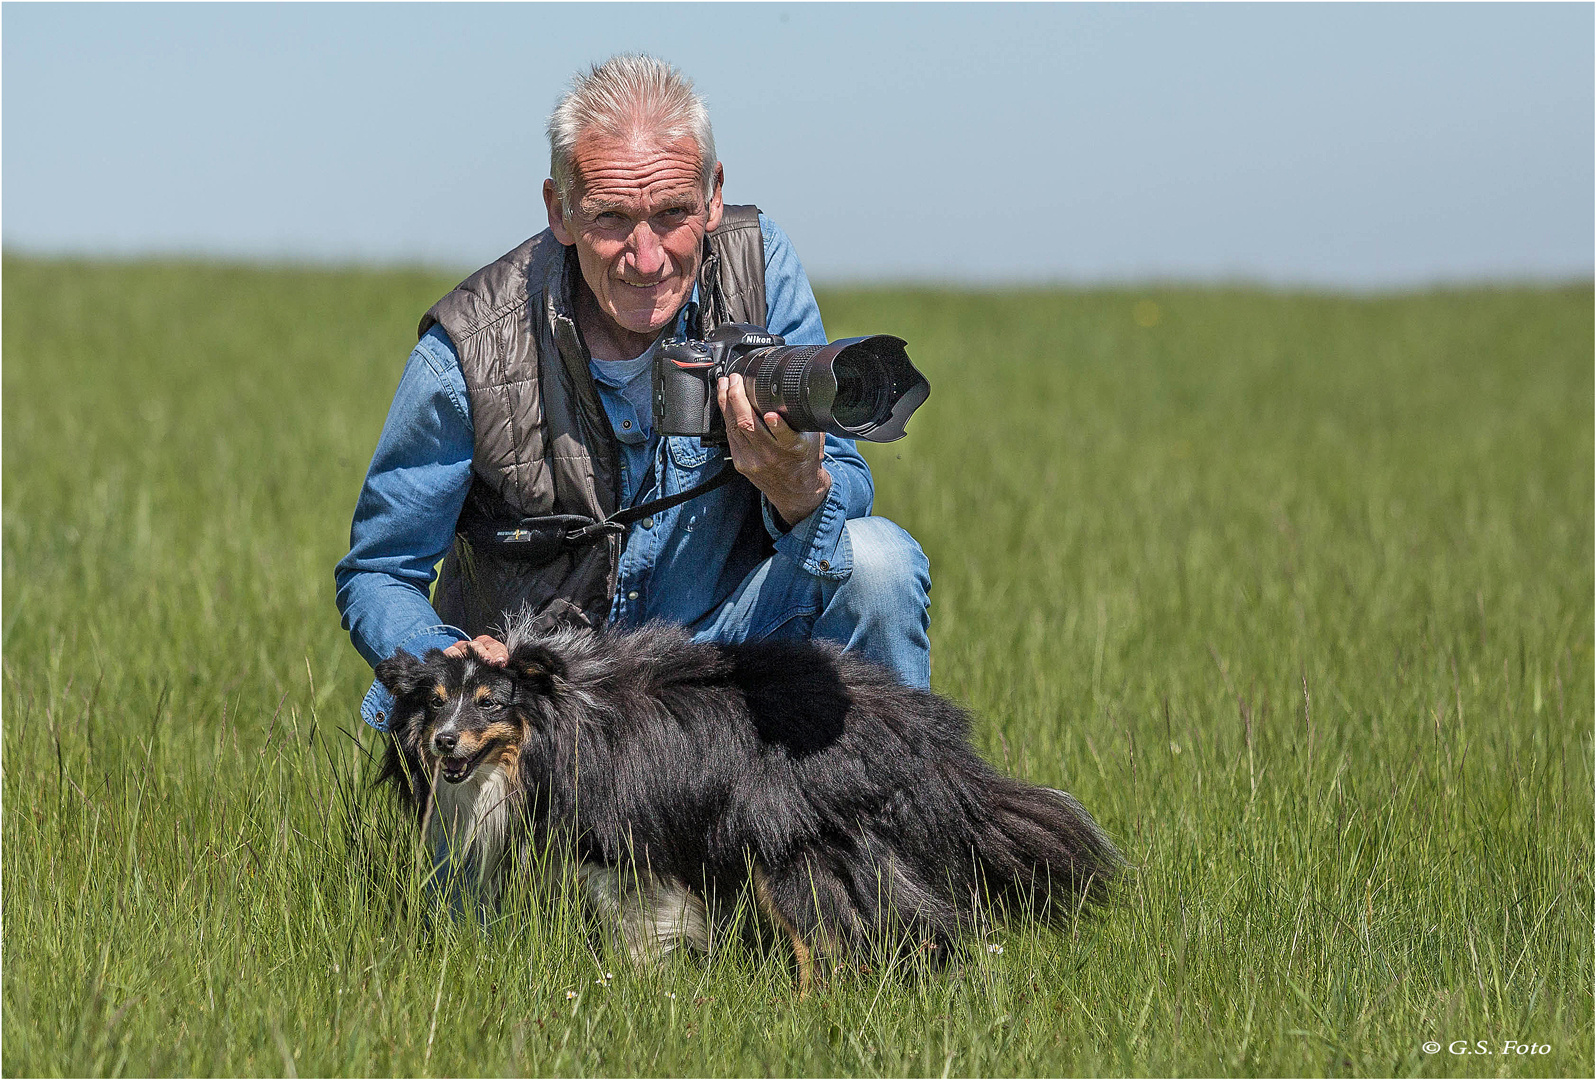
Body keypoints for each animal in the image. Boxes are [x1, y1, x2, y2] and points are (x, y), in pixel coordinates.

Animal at [376, 615, 1123, 982]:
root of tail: (921, 732)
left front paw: (645, 985)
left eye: (488, 702)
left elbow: (645, 921)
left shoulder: (626, 839)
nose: (443, 742)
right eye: (434, 701)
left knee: (831, 943)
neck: (555, 724)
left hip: (791, 844)